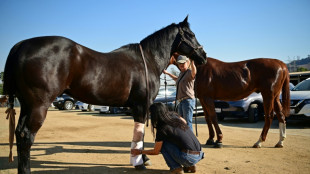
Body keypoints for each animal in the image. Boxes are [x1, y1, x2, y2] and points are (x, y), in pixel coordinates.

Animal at [3, 16, 208, 173]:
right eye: (191, 35)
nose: (203, 56)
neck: (147, 60)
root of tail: (21, 46)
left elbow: (139, 135)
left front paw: (142, 159)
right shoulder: (141, 106)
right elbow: (139, 135)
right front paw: (140, 162)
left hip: (27, 105)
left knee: (19, 133)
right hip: (39, 105)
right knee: (27, 136)